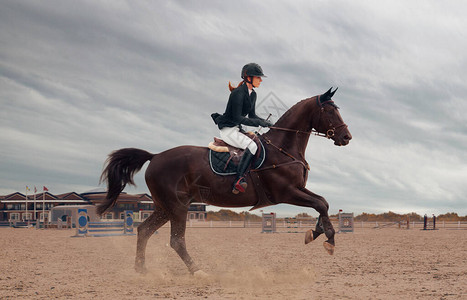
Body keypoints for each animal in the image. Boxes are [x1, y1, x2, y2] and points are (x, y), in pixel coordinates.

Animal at [100, 87, 352, 276]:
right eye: (330, 111)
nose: (346, 137)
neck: (284, 148)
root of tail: (155, 156)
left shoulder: (299, 189)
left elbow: (323, 203)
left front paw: (315, 233)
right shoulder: (287, 192)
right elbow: (320, 204)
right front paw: (329, 240)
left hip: (164, 207)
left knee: (143, 230)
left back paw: (141, 269)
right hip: (177, 206)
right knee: (176, 240)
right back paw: (197, 271)